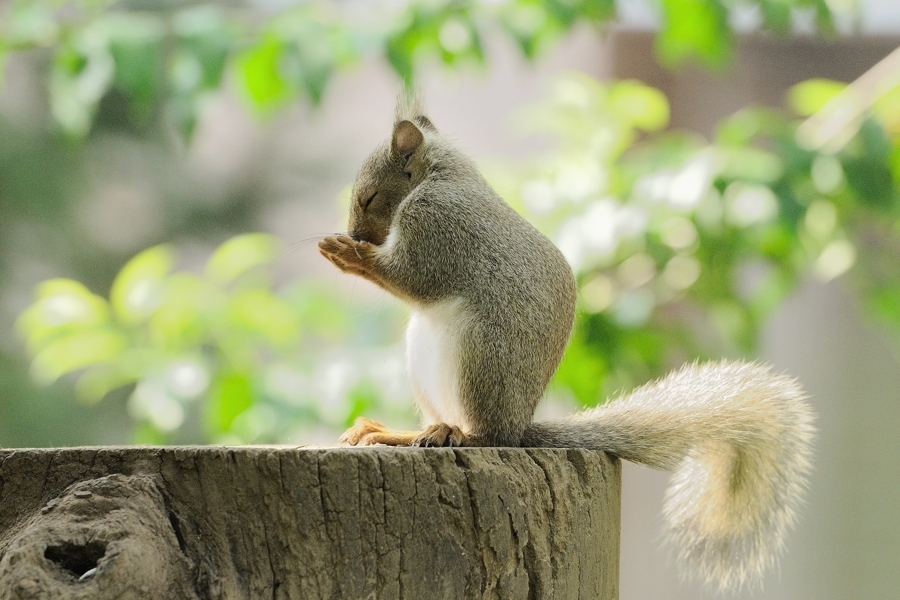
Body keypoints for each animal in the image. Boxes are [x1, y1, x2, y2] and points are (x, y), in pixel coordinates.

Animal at [320, 95, 820, 592]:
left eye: (368, 197)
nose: (358, 235)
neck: (444, 175)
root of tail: (518, 426)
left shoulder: (436, 225)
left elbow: (412, 276)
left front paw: (350, 255)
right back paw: (394, 432)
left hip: (479, 356)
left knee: (482, 436)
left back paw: (446, 434)